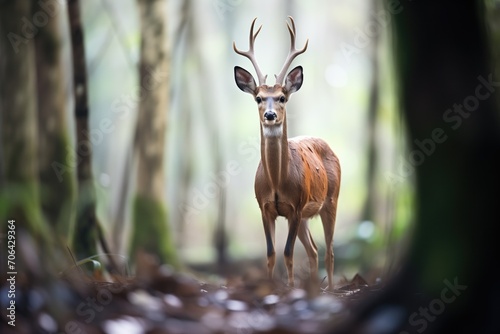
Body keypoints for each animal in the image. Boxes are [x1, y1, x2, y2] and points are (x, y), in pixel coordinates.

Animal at [234, 16, 340, 290]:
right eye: (258, 98)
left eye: (282, 97)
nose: (270, 115)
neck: (277, 182)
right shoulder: (265, 207)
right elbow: (271, 254)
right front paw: (271, 288)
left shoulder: (296, 206)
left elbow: (288, 253)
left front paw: (290, 288)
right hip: (305, 217)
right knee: (314, 250)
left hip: (331, 200)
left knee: (329, 251)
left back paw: (330, 289)